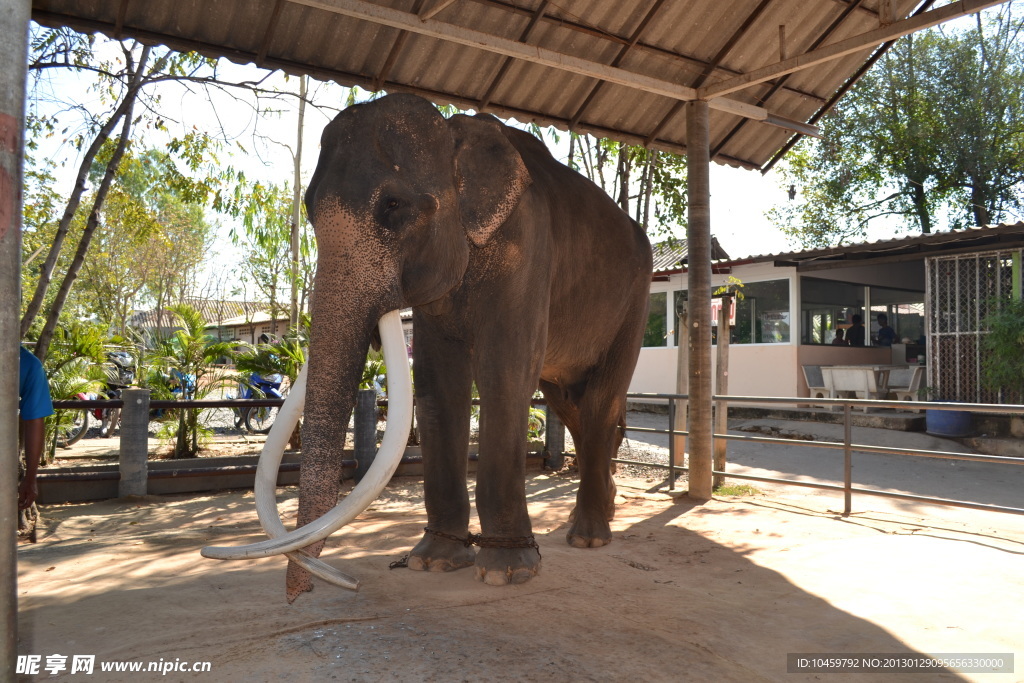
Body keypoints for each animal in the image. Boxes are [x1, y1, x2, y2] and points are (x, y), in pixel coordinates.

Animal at [203, 93, 651, 602]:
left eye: (393, 205)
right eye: (309, 209)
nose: (305, 592)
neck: (455, 132)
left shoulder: (526, 250)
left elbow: (503, 377)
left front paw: (506, 571)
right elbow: (439, 387)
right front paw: (432, 561)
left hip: (634, 303)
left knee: (599, 403)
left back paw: (589, 536)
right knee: (570, 404)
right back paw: (599, 511)